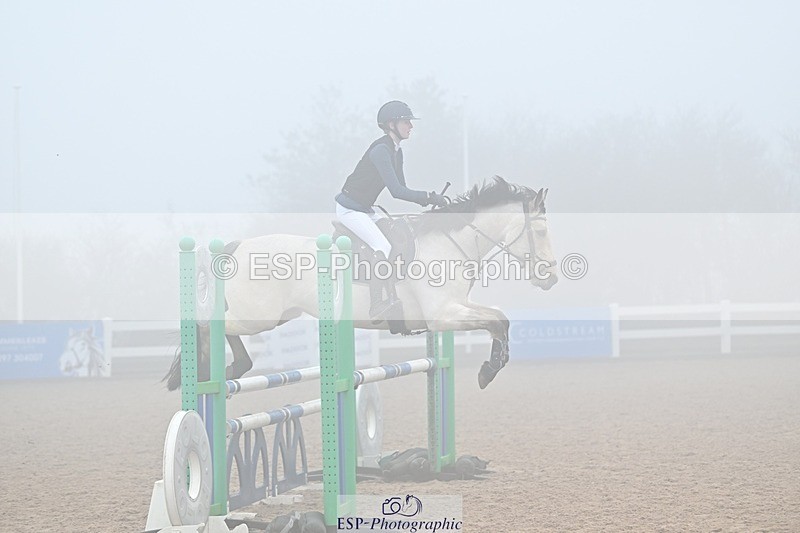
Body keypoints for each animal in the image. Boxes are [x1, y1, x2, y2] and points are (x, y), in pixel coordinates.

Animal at [165, 177, 558, 391]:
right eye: (540, 231)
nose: (551, 277)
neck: (447, 241)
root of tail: (237, 246)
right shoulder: (443, 315)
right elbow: (496, 321)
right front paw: (488, 370)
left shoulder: (455, 307)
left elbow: (500, 319)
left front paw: (491, 367)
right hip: (256, 314)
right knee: (209, 324)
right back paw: (206, 372)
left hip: (274, 315)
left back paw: (234, 368)